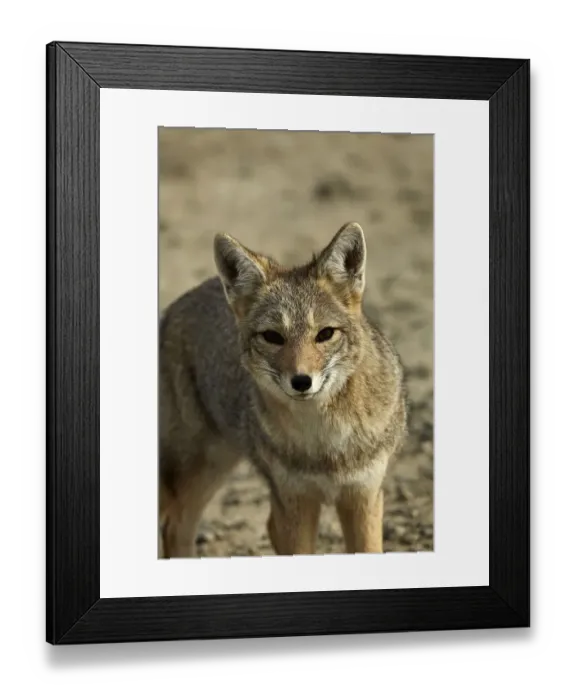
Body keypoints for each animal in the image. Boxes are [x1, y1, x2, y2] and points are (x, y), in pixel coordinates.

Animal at [158, 222, 408, 558]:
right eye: (273, 337)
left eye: (325, 334)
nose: (301, 381)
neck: (325, 445)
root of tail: (175, 307)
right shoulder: (294, 501)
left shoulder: (363, 495)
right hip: (200, 467)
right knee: (174, 525)